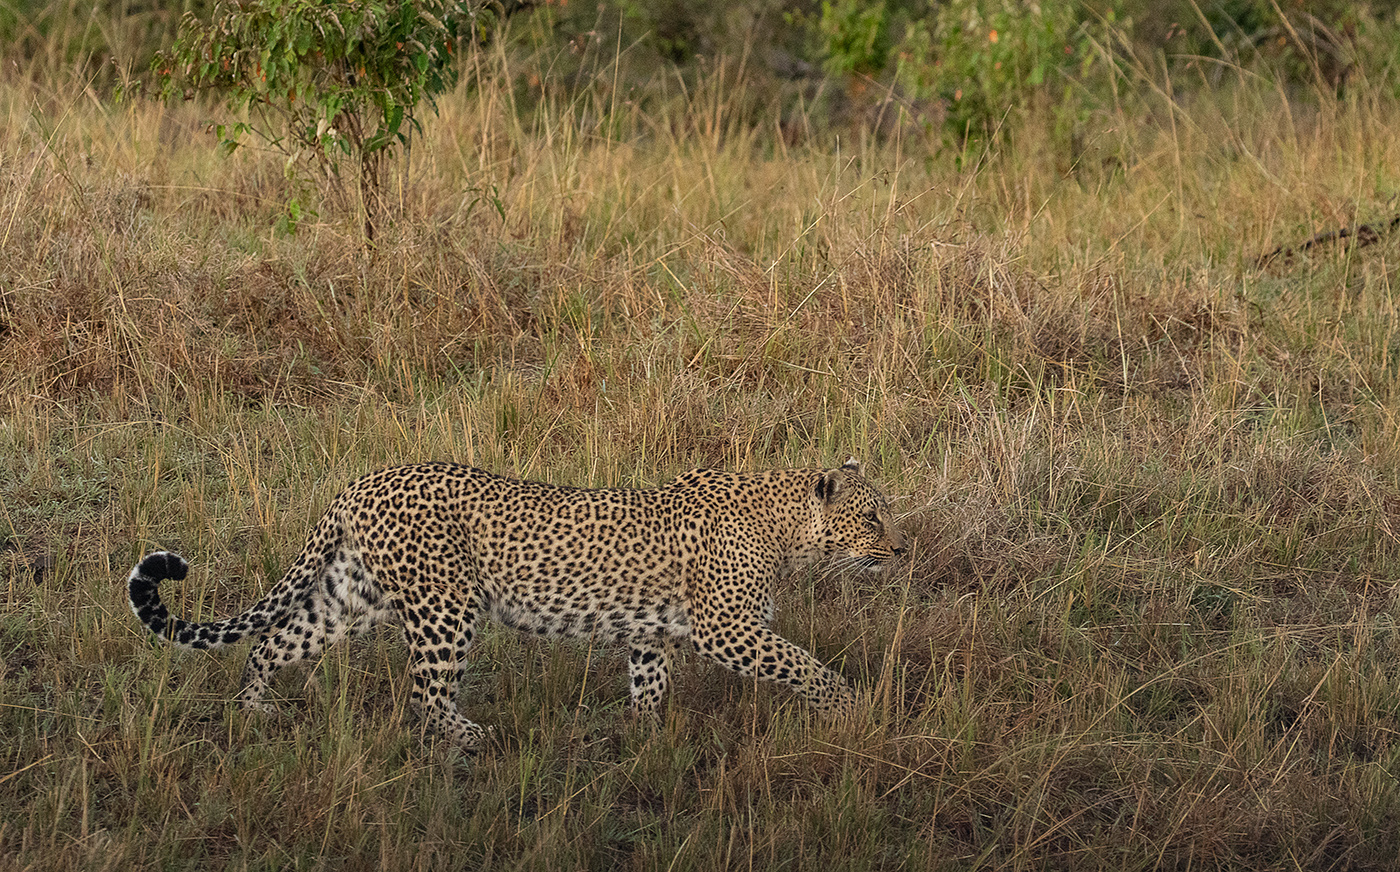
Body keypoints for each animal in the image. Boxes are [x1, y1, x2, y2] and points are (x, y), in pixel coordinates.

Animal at [128, 456, 907, 750]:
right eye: (872, 518)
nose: (901, 550)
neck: (788, 530)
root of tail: (362, 482)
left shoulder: (651, 633)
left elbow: (649, 684)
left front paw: (643, 738)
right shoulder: (728, 629)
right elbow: (805, 664)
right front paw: (851, 708)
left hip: (352, 596)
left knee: (273, 640)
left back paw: (255, 708)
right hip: (445, 606)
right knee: (425, 694)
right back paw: (473, 739)